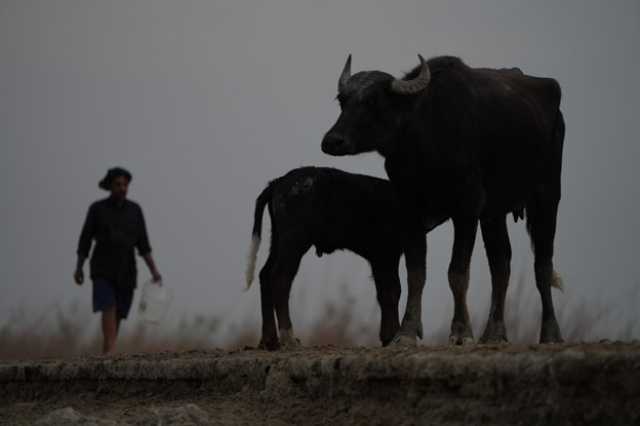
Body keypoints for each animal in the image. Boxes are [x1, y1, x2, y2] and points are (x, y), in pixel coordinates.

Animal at [322, 55, 564, 344]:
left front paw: (461, 331)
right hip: (494, 214)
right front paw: (406, 331)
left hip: (547, 196)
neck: (423, 143)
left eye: (372, 101)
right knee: (501, 264)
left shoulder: (467, 208)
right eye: (342, 100)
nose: (332, 141)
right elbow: (416, 273)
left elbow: (457, 272)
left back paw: (550, 333)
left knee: (543, 266)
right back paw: (493, 333)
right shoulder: (410, 211)